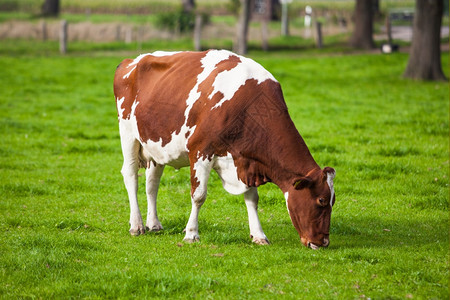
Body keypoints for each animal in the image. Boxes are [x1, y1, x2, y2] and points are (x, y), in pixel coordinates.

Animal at [114, 50, 336, 250]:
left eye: (333, 201)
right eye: (321, 200)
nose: (323, 242)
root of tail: (132, 60)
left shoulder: (246, 161)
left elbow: (252, 199)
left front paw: (259, 235)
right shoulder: (200, 151)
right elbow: (198, 195)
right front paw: (191, 234)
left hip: (155, 145)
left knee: (152, 184)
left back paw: (154, 224)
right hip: (128, 134)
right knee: (131, 176)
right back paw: (137, 225)